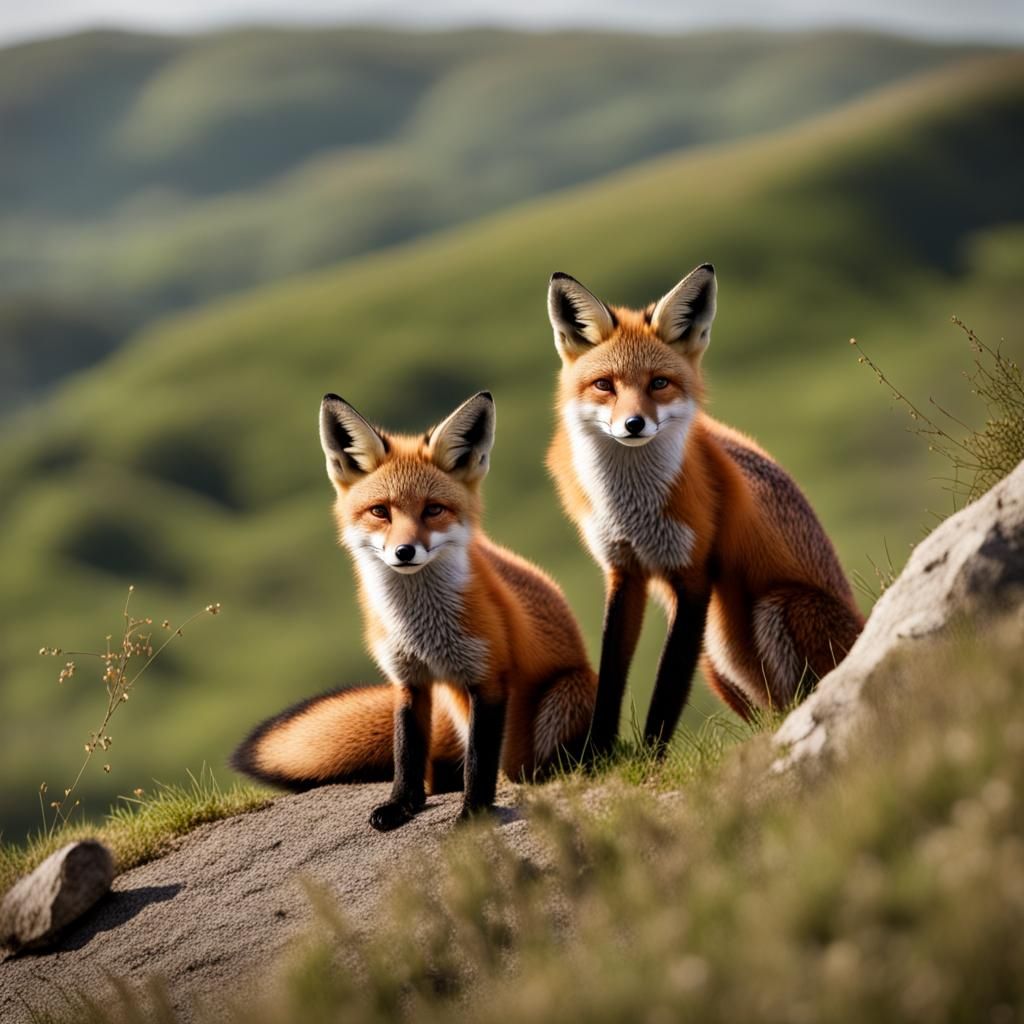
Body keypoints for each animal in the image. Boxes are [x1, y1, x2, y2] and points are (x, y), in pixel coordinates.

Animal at [233, 391, 596, 830]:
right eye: (380, 511)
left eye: (433, 510)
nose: (404, 552)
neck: (423, 633)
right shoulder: (408, 679)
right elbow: (406, 753)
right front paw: (403, 805)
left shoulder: (489, 677)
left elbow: (479, 761)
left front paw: (474, 813)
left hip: (567, 694)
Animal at [545, 264, 864, 756]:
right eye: (604, 386)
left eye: (659, 383)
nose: (633, 424)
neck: (632, 509)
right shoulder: (624, 570)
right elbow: (610, 677)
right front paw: (600, 756)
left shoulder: (693, 574)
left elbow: (667, 690)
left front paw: (651, 759)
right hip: (715, 656)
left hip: (775, 607)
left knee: (802, 697)